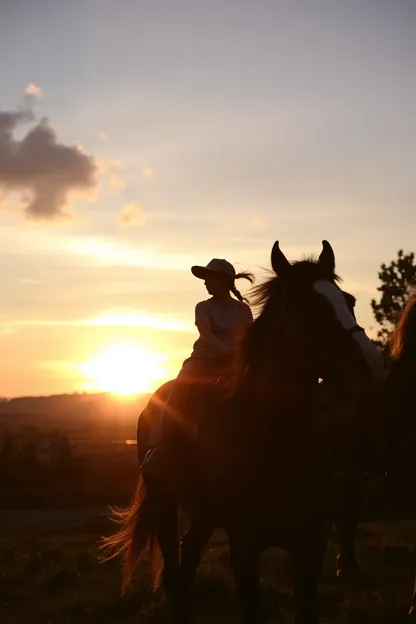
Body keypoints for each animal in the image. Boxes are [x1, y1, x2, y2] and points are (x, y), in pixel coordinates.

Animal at [100, 240, 384, 624]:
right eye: (306, 306)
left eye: (350, 301)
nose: (369, 364)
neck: (273, 440)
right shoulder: (244, 549)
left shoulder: (310, 546)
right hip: (164, 505)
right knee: (174, 574)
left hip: (203, 513)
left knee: (187, 564)